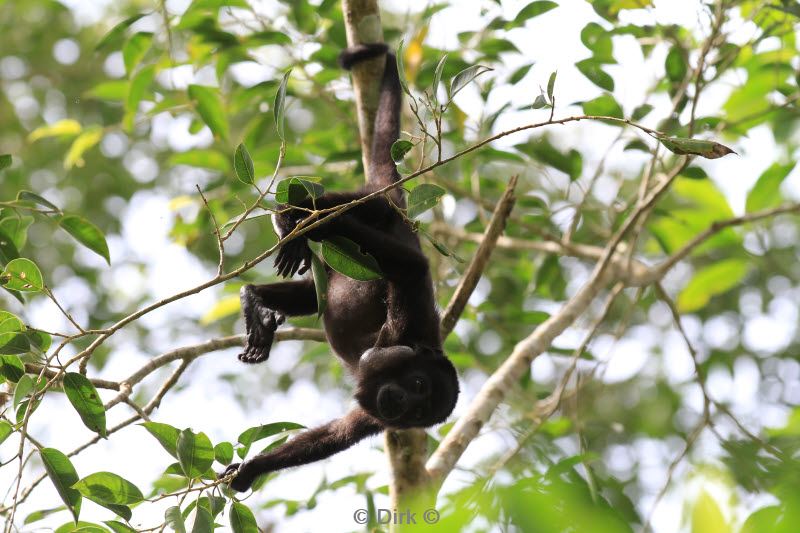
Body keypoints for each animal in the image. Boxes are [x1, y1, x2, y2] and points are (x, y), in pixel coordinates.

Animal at [223, 43, 462, 488]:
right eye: (417, 383)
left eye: (419, 411)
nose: (401, 402)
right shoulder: (412, 314)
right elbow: (412, 266)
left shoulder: (374, 417)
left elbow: (341, 432)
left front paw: (253, 468)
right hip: (381, 206)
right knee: (363, 210)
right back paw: (291, 219)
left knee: (313, 294)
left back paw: (255, 299)